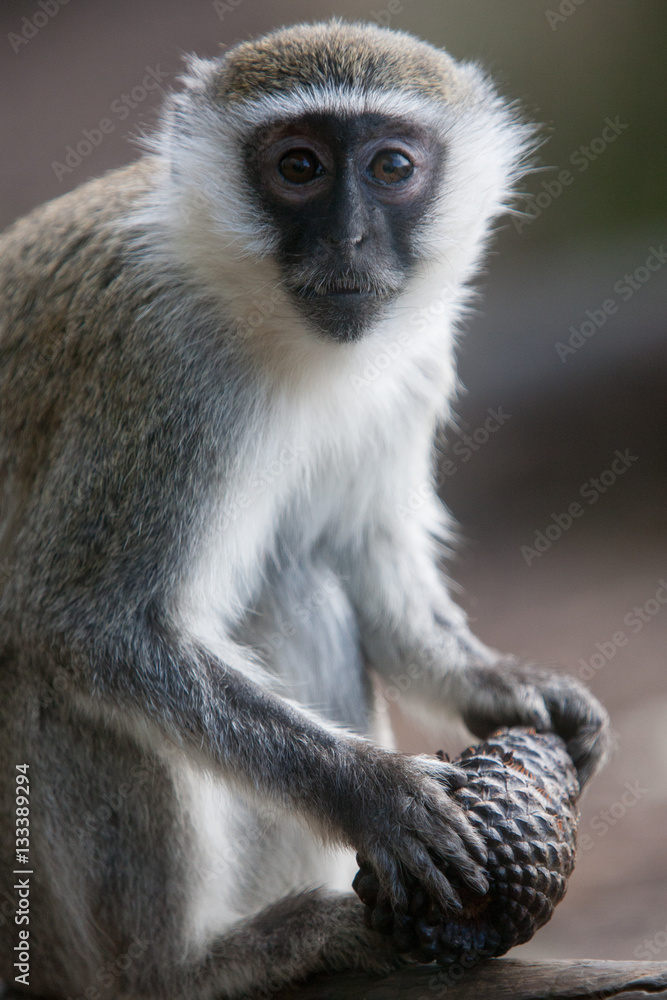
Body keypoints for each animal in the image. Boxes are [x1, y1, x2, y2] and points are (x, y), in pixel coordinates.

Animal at [0, 17, 612, 1000]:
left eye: (391, 167)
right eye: (298, 168)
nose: (350, 240)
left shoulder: (414, 359)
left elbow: (364, 554)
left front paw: (503, 686)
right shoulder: (161, 368)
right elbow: (88, 622)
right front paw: (376, 795)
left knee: (300, 584)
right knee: (50, 666)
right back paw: (185, 965)